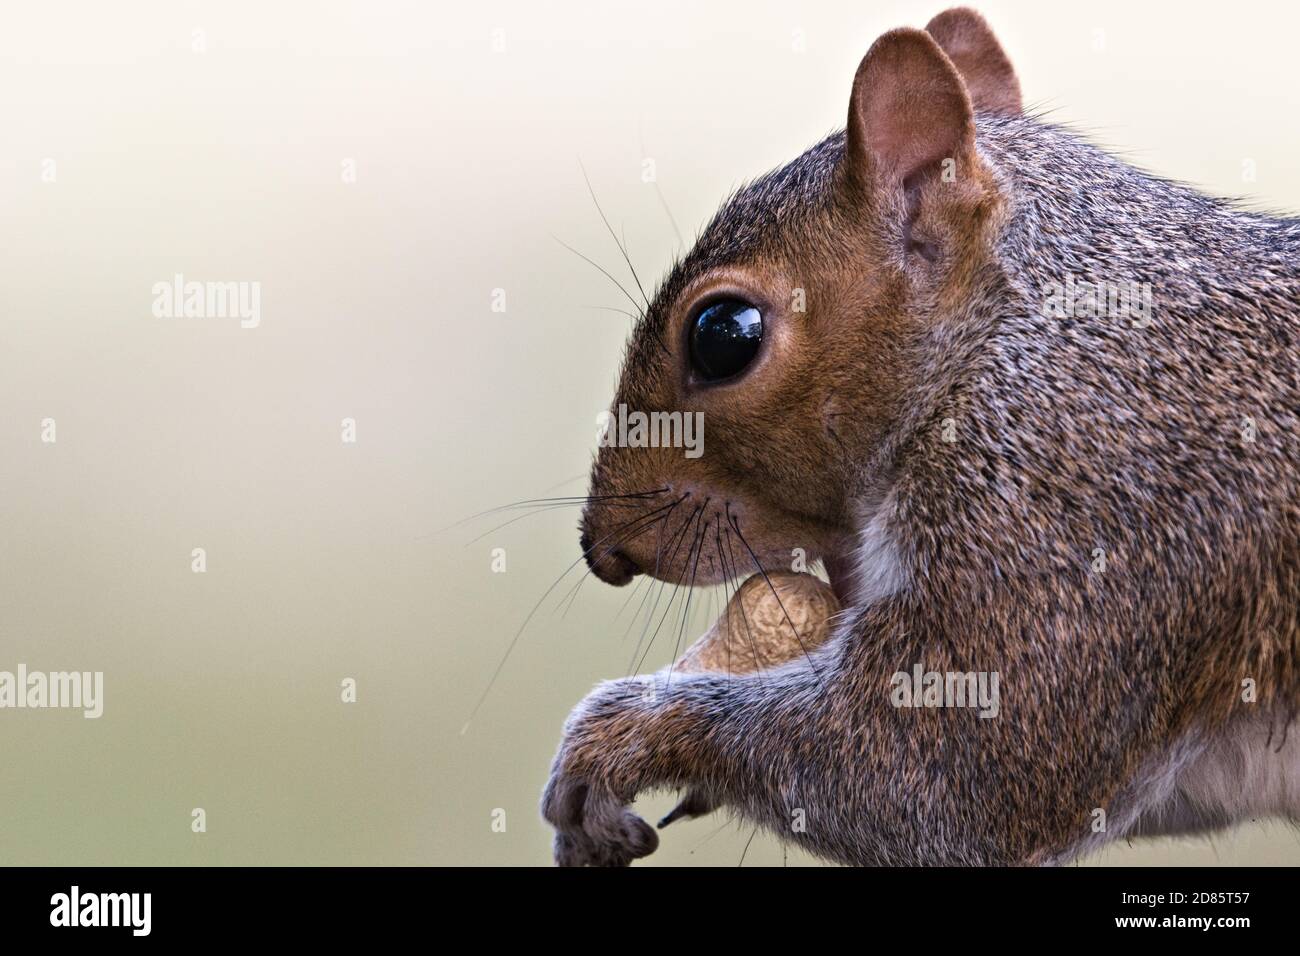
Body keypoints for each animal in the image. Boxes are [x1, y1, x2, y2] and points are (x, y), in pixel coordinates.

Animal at [541, 7, 1300, 866]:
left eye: (722, 335)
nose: (604, 550)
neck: (1005, 339)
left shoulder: (1071, 512)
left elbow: (936, 772)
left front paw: (617, 734)